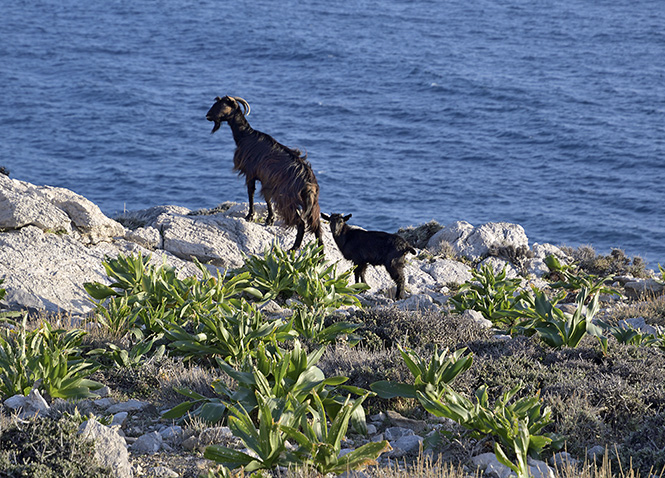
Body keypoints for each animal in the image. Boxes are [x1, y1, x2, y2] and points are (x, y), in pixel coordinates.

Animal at [206, 94, 322, 250]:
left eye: (222, 105)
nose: (208, 115)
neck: (246, 135)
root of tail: (308, 180)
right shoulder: (267, 181)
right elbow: (267, 198)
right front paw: (269, 219)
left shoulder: (251, 173)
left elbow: (251, 192)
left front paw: (250, 216)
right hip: (312, 202)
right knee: (317, 226)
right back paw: (321, 253)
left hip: (287, 199)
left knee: (301, 223)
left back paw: (293, 248)